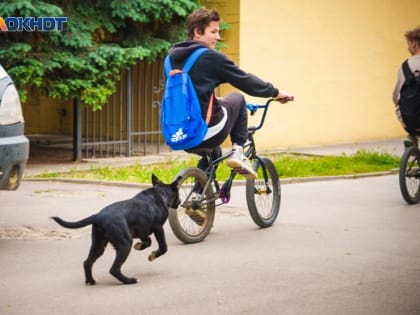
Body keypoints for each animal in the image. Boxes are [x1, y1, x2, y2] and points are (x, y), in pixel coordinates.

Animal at [50, 175, 180, 286]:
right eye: (178, 194)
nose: (180, 202)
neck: (160, 193)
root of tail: (98, 216)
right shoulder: (158, 228)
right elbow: (163, 247)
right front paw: (153, 254)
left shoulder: (139, 230)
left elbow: (148, 241)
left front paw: (140, 246)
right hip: (124, 244)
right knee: (114, 269)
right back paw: (129, 280)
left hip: (99, 245)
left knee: (87, 262)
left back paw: (90, 280)